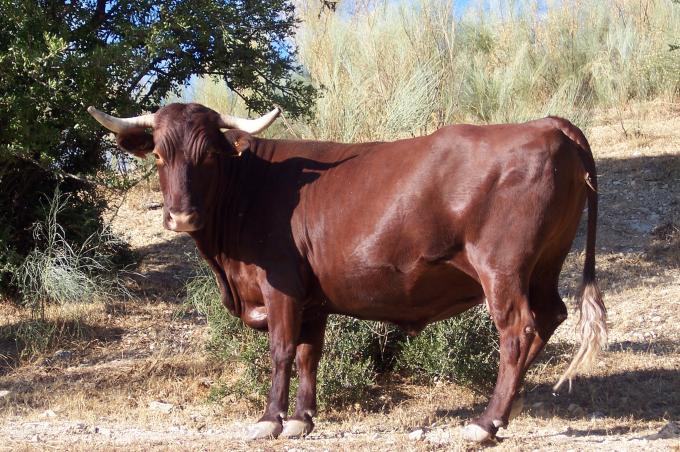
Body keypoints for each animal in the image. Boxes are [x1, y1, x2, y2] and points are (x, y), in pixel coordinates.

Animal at [87, 102, 607, 442]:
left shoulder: (280, 287)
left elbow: (280, 350)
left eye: (210, 155)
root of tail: (548, 124)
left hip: (502, 269)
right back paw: (505, 413)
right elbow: (308, 354)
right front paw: (302, 419)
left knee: (517, 332)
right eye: (159, 155)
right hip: (543, 266)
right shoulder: (311, 296)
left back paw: (484, 423)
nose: (181, 215)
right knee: (549, 318)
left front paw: (270, 419)